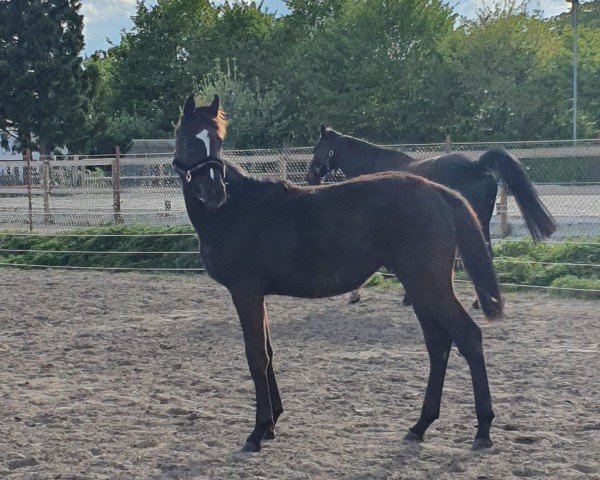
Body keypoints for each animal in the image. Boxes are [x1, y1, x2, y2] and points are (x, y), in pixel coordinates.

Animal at [176, 94, 504, 454]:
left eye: (217, 141)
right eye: (188, 138)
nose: (214, 193)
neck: (237, 210)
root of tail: (441, 193)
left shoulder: (245, 292)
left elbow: (256, 356)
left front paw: (258, 430)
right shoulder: (257, 295)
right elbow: (268, 352)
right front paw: (273, 423)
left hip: (430, 285)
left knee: (468, 337)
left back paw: (483, 429)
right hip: (420, 287)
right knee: (439, 344)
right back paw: (420, 425)